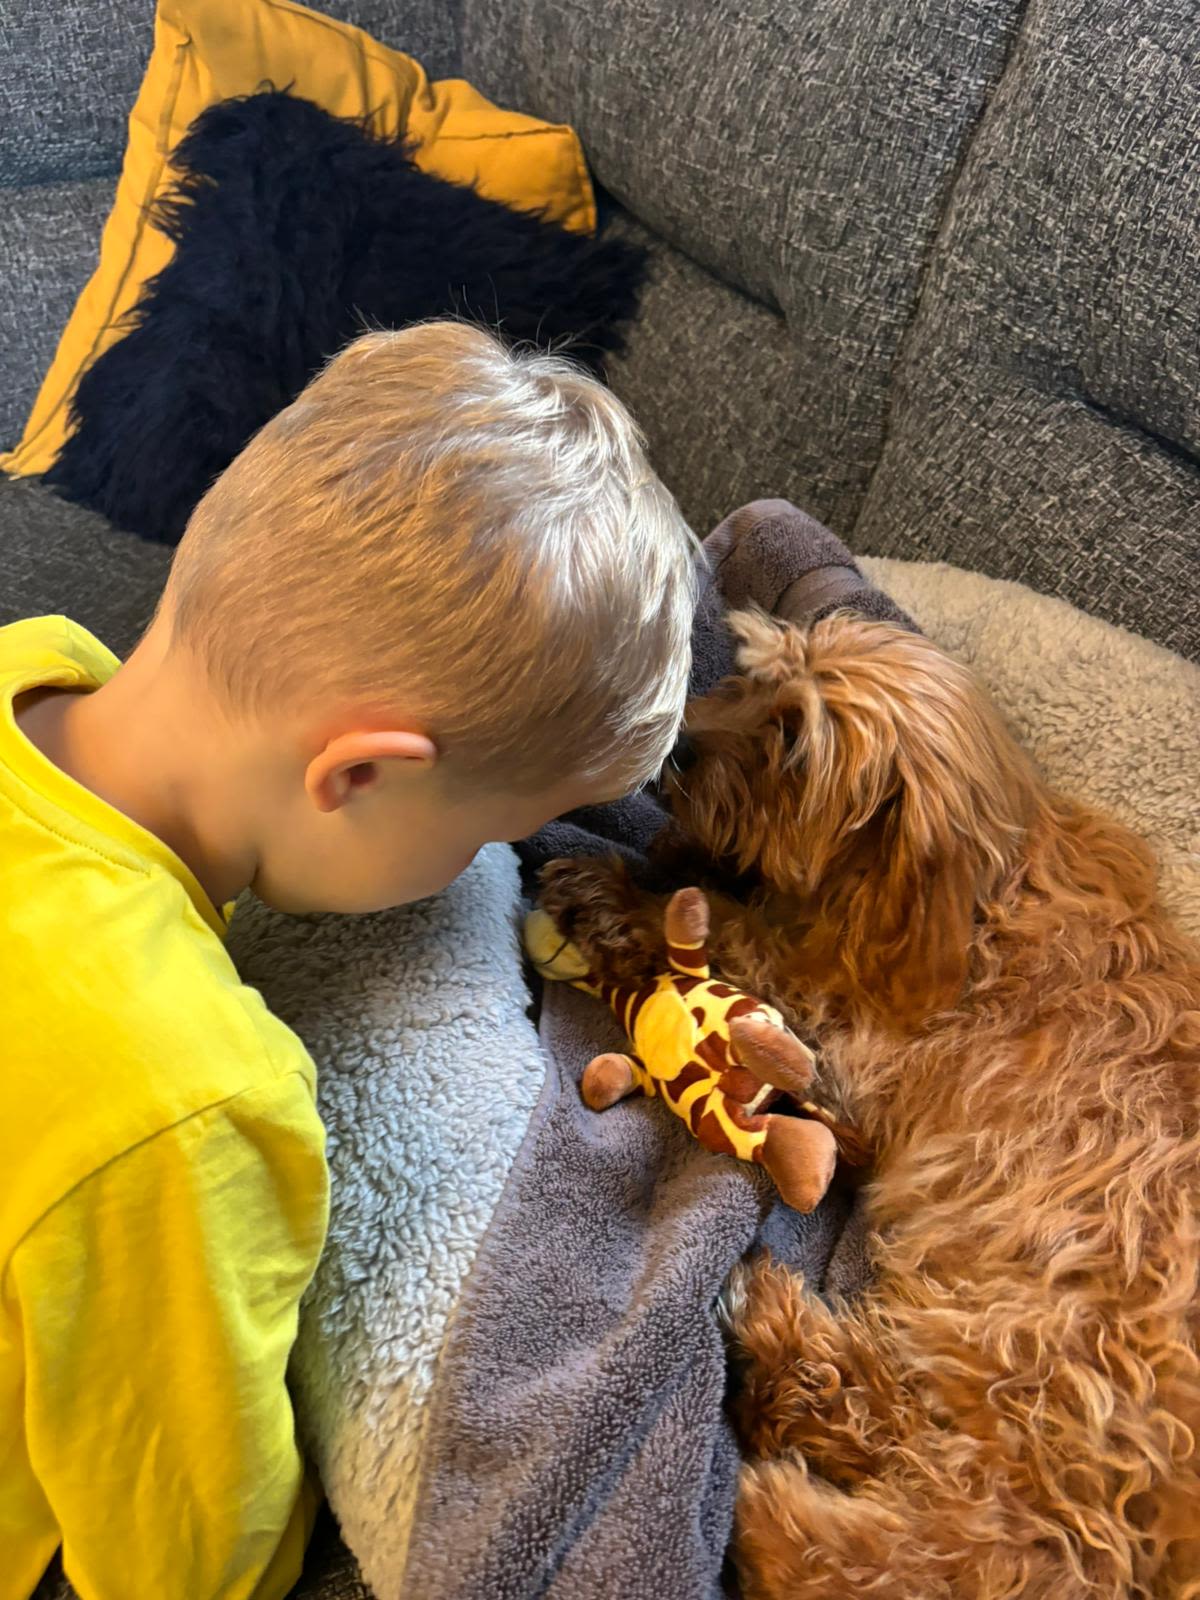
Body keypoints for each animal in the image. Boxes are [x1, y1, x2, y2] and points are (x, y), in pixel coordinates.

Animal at [539, 611, 1200, 1600]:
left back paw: (778, 1390)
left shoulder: (847, 1050)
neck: (983, 888)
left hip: (1035, 1340)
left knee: (979, 1540)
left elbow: (740, 938)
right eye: (756, 681)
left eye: (794, 746)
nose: (677, 747)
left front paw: (621, 898)